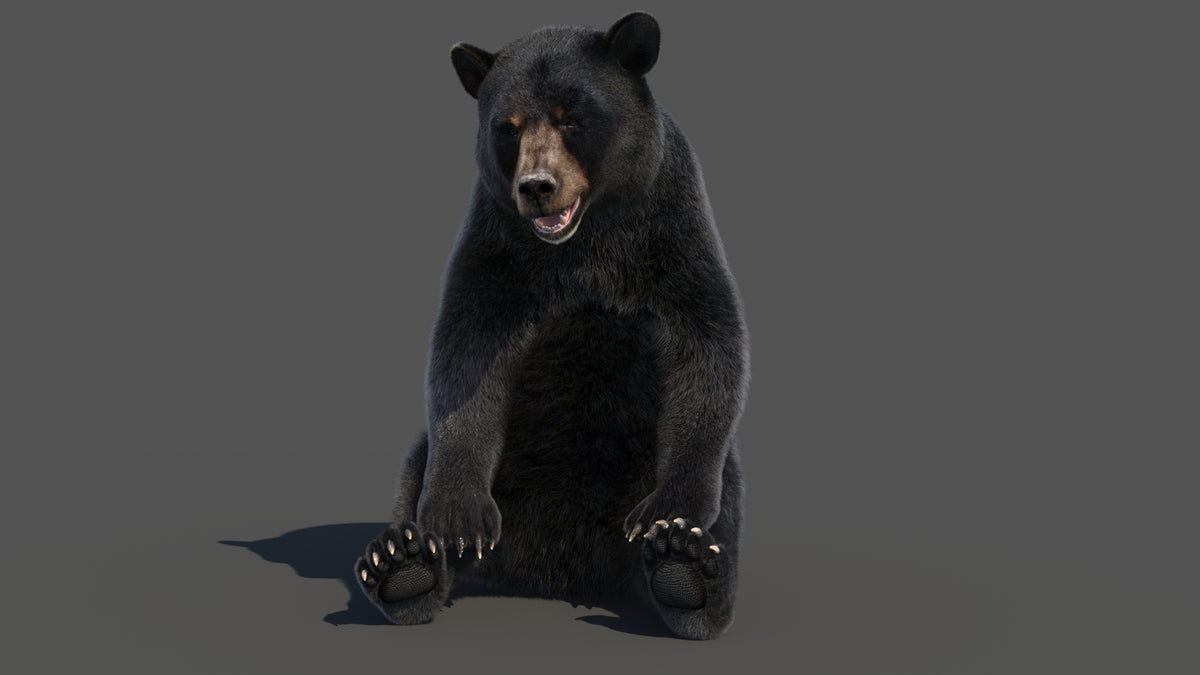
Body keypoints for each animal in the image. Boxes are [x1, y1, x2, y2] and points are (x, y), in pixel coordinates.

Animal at [355, 12, 748, 641]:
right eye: (508, 128)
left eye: (573, 118)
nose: (537, 186)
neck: (581, 244)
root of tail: (555, 573)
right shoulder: (499, 248)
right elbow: (466, 356)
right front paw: (458, 516)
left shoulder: (669, 233)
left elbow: (705, 341)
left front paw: (670, 515)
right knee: (417, 466)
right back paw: (405, 562)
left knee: (724, 497)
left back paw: (684, 571)